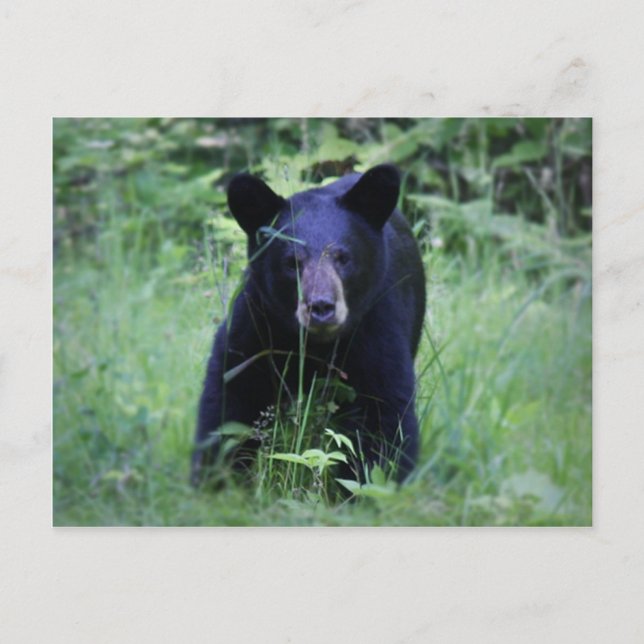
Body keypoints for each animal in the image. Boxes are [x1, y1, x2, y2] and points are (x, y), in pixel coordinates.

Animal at [192, 164, 426, 487]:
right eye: (292, 262)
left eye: (343, 257)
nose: (321, 306)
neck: (316, 345)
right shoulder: (256, 323)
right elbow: (230, 398)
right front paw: (215, 480)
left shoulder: (377, 325)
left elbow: (383, 414)